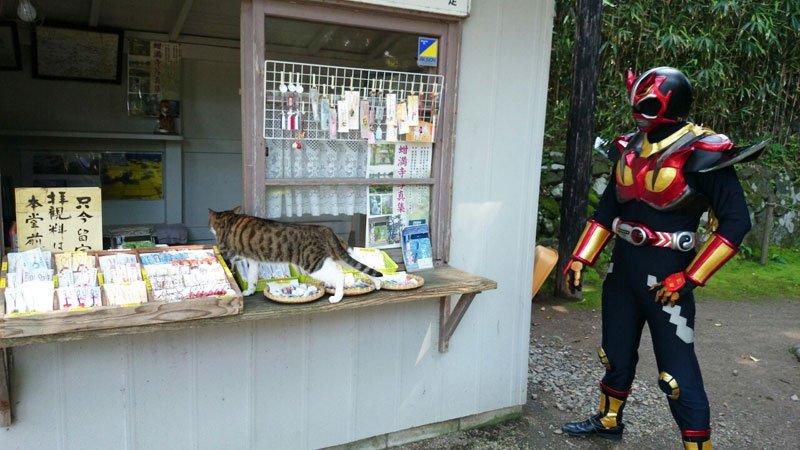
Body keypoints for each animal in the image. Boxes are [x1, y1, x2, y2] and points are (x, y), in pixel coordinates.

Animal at [208, 207, 383, 302]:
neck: (229, 219)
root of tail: (325, 229)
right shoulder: (253, 261)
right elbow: (251, 278)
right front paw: (249, 291)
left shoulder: (227, 255)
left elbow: (230, 271)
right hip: (340, 253)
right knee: (362, 265)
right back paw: (377, 283)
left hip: (313, 264)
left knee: (339, 275)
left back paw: (337, 297)